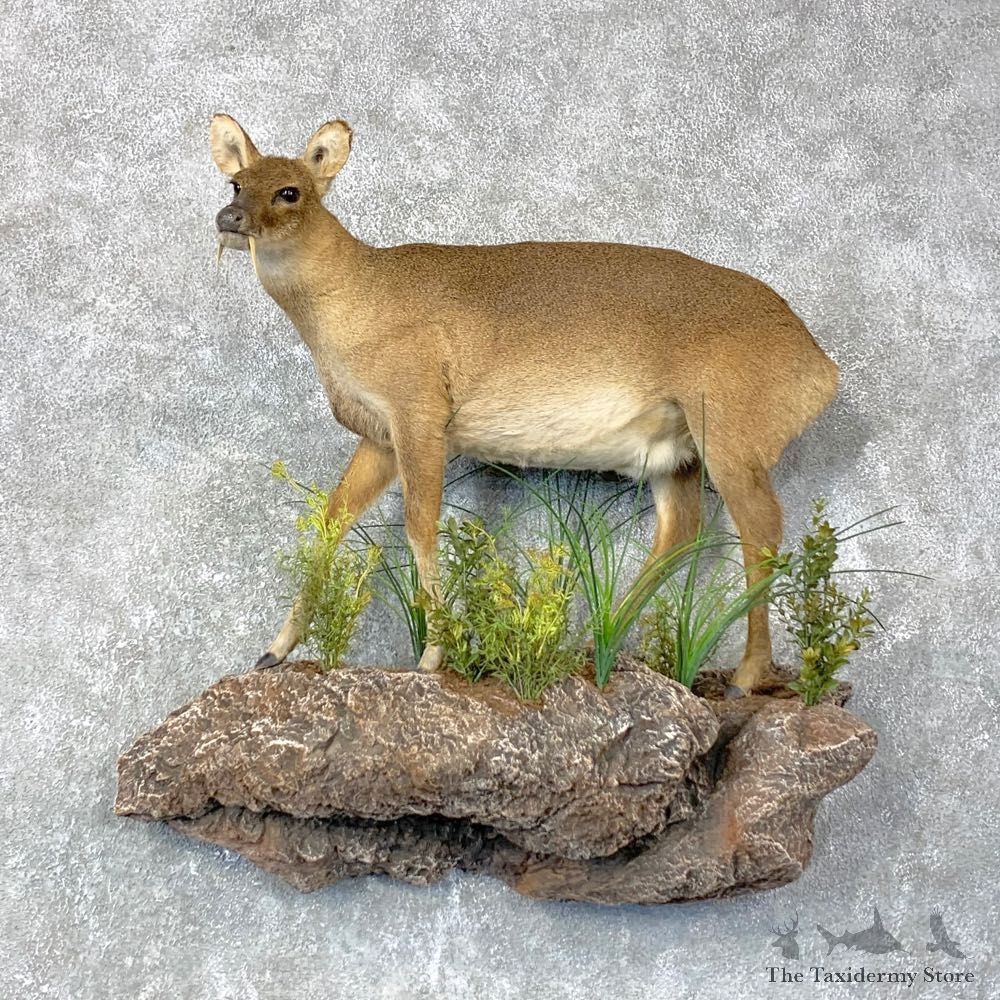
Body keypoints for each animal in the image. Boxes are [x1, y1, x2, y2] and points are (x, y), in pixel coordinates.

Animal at [210, 113, 839, 698]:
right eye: (237, 182)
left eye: (290, 190)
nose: (229, 218)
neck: (356, 303)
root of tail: (821, 369)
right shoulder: (379, 434)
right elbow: (330, 521)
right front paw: (273, 651)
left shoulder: (421, 410)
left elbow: (420, 525)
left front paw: (433, 654)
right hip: (676, 454)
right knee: (683, 533)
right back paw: (593, 645)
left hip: (732, 431)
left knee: (762, 529)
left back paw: (744, 676)